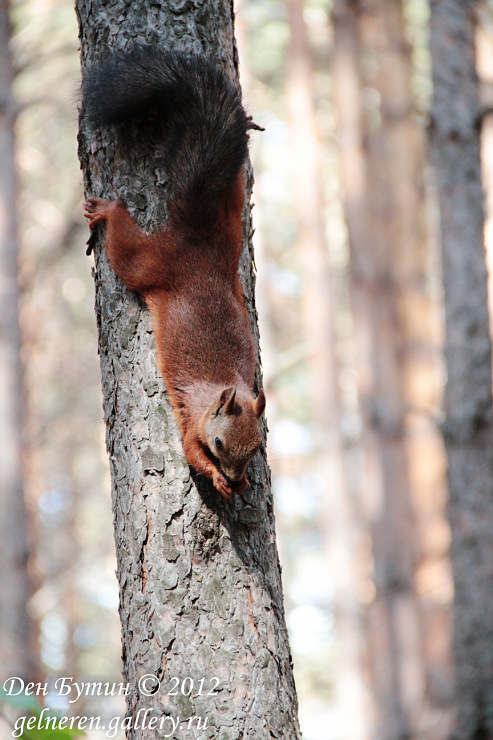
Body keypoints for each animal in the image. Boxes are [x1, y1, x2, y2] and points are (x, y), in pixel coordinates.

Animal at [81, 44, 266, 498]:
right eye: (219, 442)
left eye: (257, 448)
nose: (234, 476)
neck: (221, 390)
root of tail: (194, 236)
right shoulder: (191, 421)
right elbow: (190, 453)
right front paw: (216, 477)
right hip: (148, 263)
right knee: (126, 249)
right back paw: (109, 209)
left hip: (229, 229)